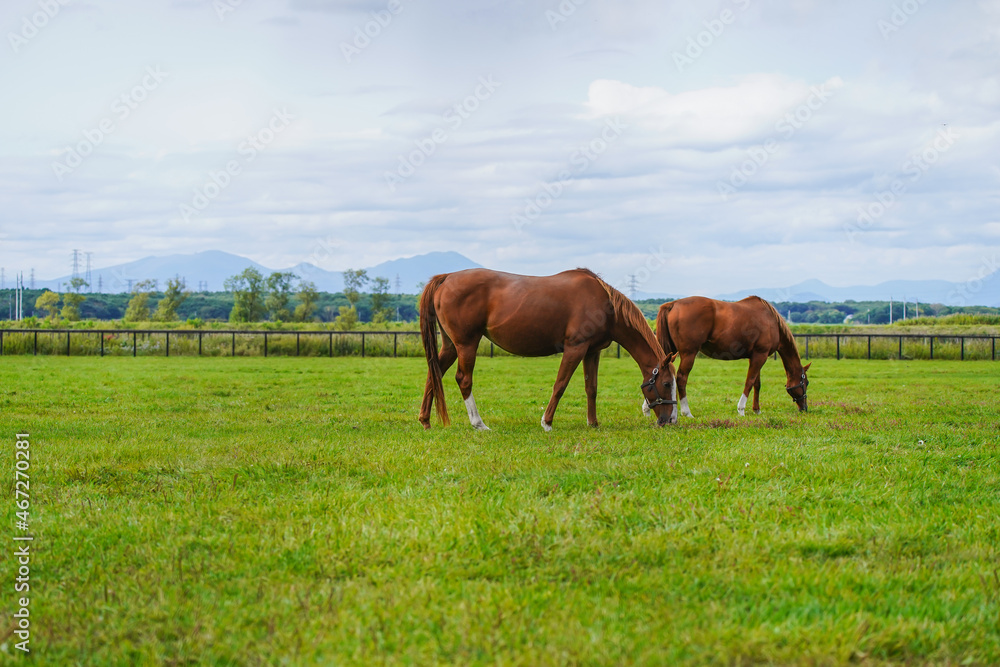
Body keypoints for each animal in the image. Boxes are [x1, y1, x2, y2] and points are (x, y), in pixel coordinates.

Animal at [414, 268, 680, 430]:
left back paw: (425, 420)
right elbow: (560, 385)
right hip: (467, 344)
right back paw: (479, 423)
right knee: (463, 379)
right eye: (667, 383)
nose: (671, 420)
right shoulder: (575, 349)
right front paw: (547, 422)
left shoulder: (591, 352)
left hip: (450, 346)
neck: (606, 306)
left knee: (433, 373)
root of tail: (446, 277)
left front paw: (593, 423)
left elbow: (591, 388)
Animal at [648, 296, 812, 418]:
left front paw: (757, 409)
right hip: (689, 354)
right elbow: (749, 381)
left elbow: (756, 383)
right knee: (681, 379)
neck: (771, 321)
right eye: (806, 382)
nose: (804, 408)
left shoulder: (756, 356)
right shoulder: (760, 356)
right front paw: (741, 409)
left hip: (669, 351)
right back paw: (686, 412)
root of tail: (673, 304)